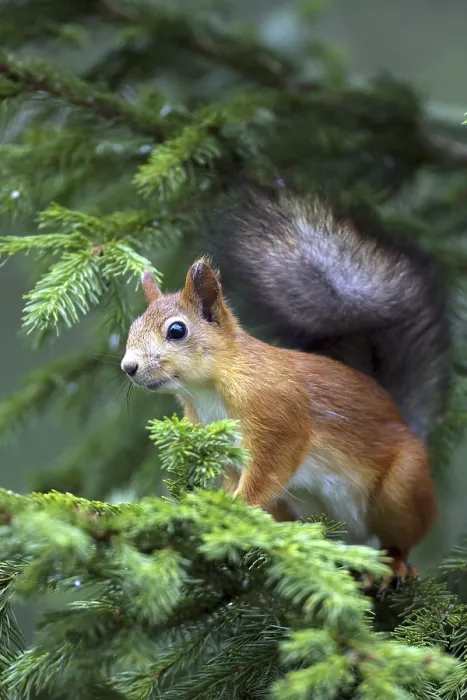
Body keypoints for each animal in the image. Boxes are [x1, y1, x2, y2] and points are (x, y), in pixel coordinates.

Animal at [121, 187, 450, 591]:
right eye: (133, 327)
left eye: (177, 330)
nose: (129, 367)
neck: (208, 391)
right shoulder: (219, 446)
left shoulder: (279, 417)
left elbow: (268, 471)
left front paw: (231, 510)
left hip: (400, 489)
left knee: (400, 538)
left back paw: (393, 565)